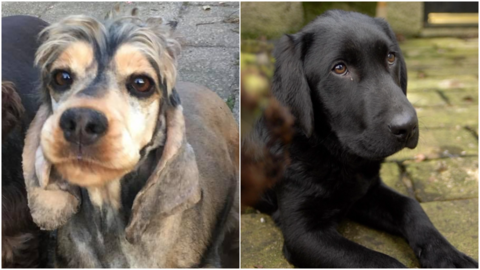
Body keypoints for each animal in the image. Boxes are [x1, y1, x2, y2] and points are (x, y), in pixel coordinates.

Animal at [249, 10, 478, 268]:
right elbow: (379, 262)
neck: (337, 153)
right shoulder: (303, 233)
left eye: (390, 57)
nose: (408, 126)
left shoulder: (366, 191)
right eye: (339, 68)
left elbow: (411, 206)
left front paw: (449, 255)